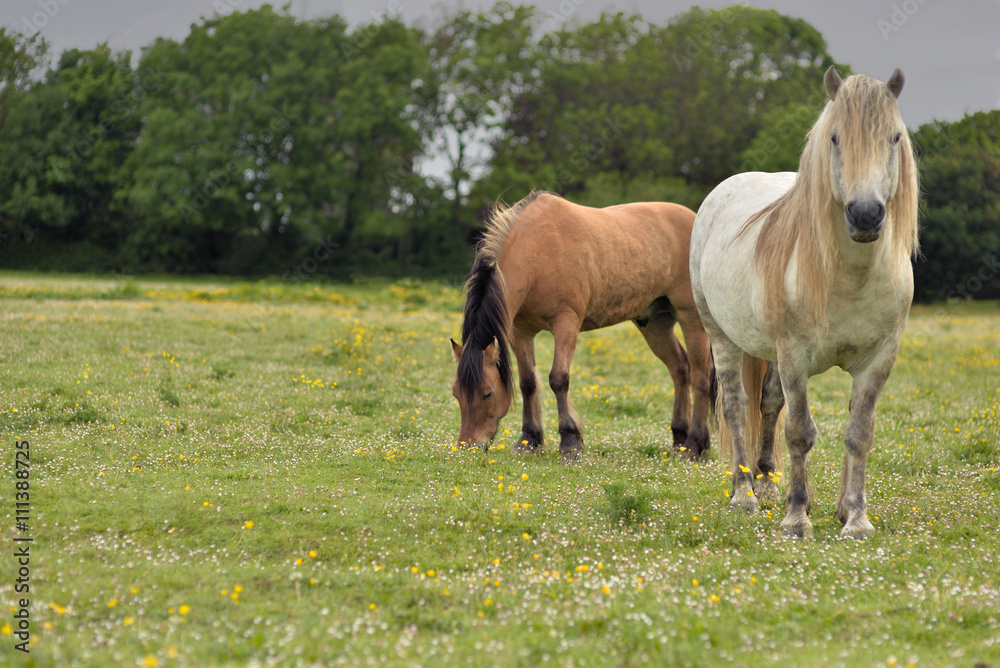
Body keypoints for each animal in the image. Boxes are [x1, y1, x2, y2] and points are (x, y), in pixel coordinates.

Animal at [450, 192, 714, 461]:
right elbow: (528, 382)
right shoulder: (520, 331)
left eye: (487, 393)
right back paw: (679, 438)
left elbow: (559, 379)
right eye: (456, 393)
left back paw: (694, 445)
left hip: (691, 318)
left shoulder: (566, 323)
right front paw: (529, 440)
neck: (539, 249)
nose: (468, 446)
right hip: (655, 324)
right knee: (680, 368)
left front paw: (570, 442)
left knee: (701, 375)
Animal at [689, 67, 919, 539]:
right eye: (835, 138)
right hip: (723, 337)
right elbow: (800, 432)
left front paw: (854, 517)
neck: (851, 278)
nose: (865, 214)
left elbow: (858, 432)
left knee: (768, 404)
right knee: (737, 406)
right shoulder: (795, 355)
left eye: (895, 138)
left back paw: (767, 484)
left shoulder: (879, 359)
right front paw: (797, 519)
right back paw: (745, 494)